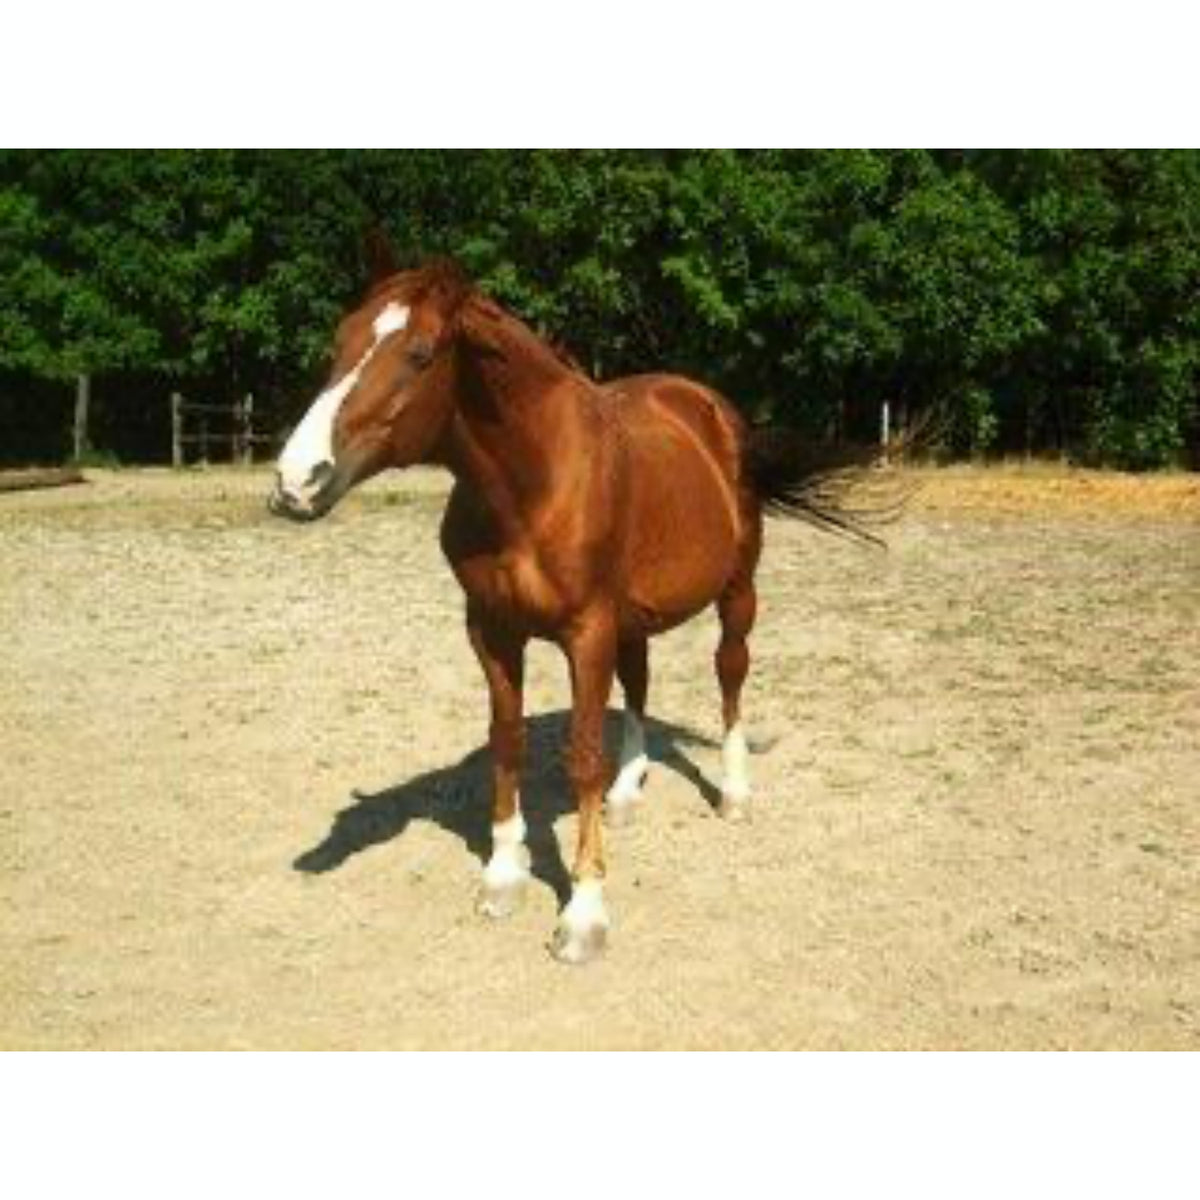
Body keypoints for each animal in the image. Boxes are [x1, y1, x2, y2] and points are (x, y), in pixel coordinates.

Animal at [269, 234, 893, 964]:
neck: (531, 488)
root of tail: (712, 411)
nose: (296, 481)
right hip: (634, 619)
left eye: (419, 354)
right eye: (338, 342)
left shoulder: (585, 632)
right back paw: (629, 792)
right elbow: (507, 740)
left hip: (737, 594)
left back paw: (734, 793)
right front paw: (502, 877)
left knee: (730, 673)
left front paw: (584, 913)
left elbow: (584, 756)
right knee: (640, 681)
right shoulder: (491, 630)